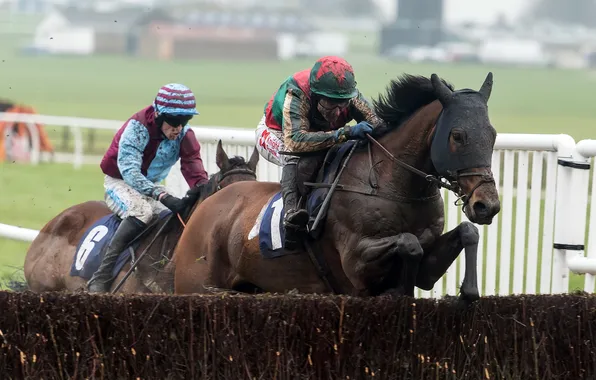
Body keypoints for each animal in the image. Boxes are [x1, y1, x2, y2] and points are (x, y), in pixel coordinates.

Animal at [171, 72, 498, 302]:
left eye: (492, 134)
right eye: (457, 135)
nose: (487, 205)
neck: (393, 185)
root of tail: (202, 211)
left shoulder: (429, 265)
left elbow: (467, 232)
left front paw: (468, 291)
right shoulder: (356, 265)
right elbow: (408, 243)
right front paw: (397, 291)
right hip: (194, 285)